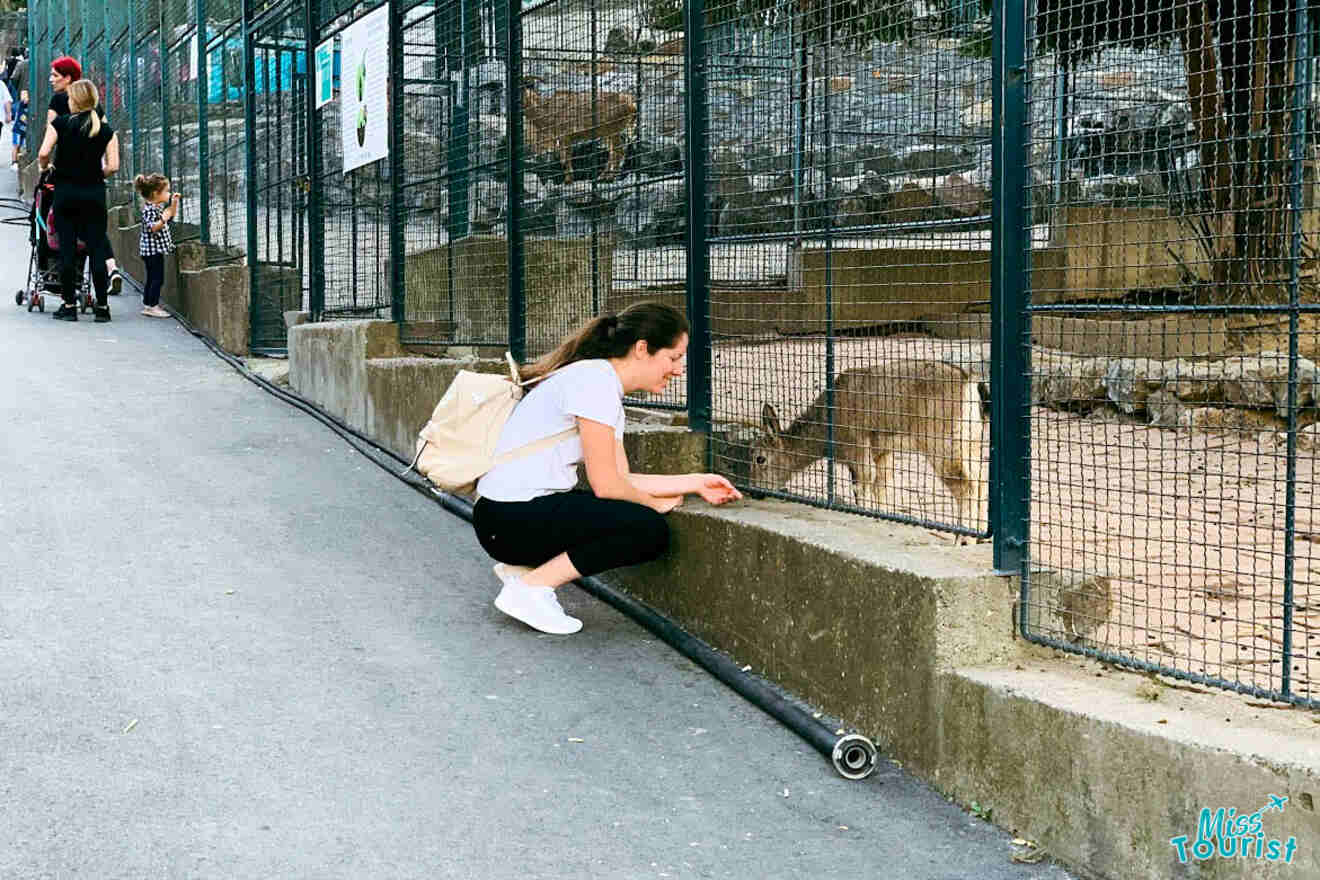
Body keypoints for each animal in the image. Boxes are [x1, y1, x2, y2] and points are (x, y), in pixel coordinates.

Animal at [749, 361, 987, 540]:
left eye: (760, 458)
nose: (754, 492)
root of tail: (968, 382)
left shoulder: (857, 446)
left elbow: (863, 485)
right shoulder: (881, 450)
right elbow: (881, 486)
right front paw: (882, 516)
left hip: (941, 442)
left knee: (965, 485)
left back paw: (964, 538)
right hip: (971, 442)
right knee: (981, 481)